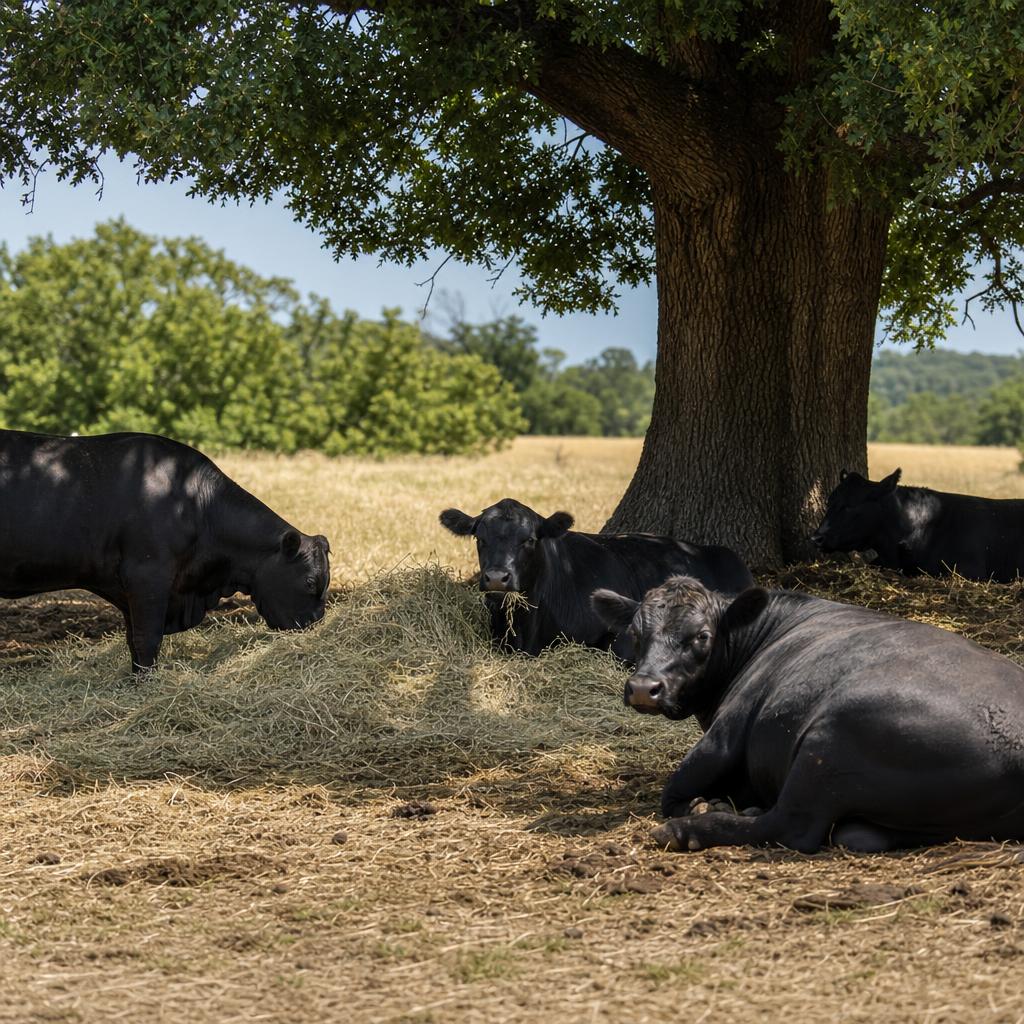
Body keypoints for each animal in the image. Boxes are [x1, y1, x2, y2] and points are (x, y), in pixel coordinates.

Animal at [592, 575, 1024, 853]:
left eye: (701, 636)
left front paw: (699, 806)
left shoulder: (726, 731)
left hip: (828, 746)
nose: (644, 688)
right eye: (635, 633)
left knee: (790, 825)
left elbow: (674, 790)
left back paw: (687, 830)